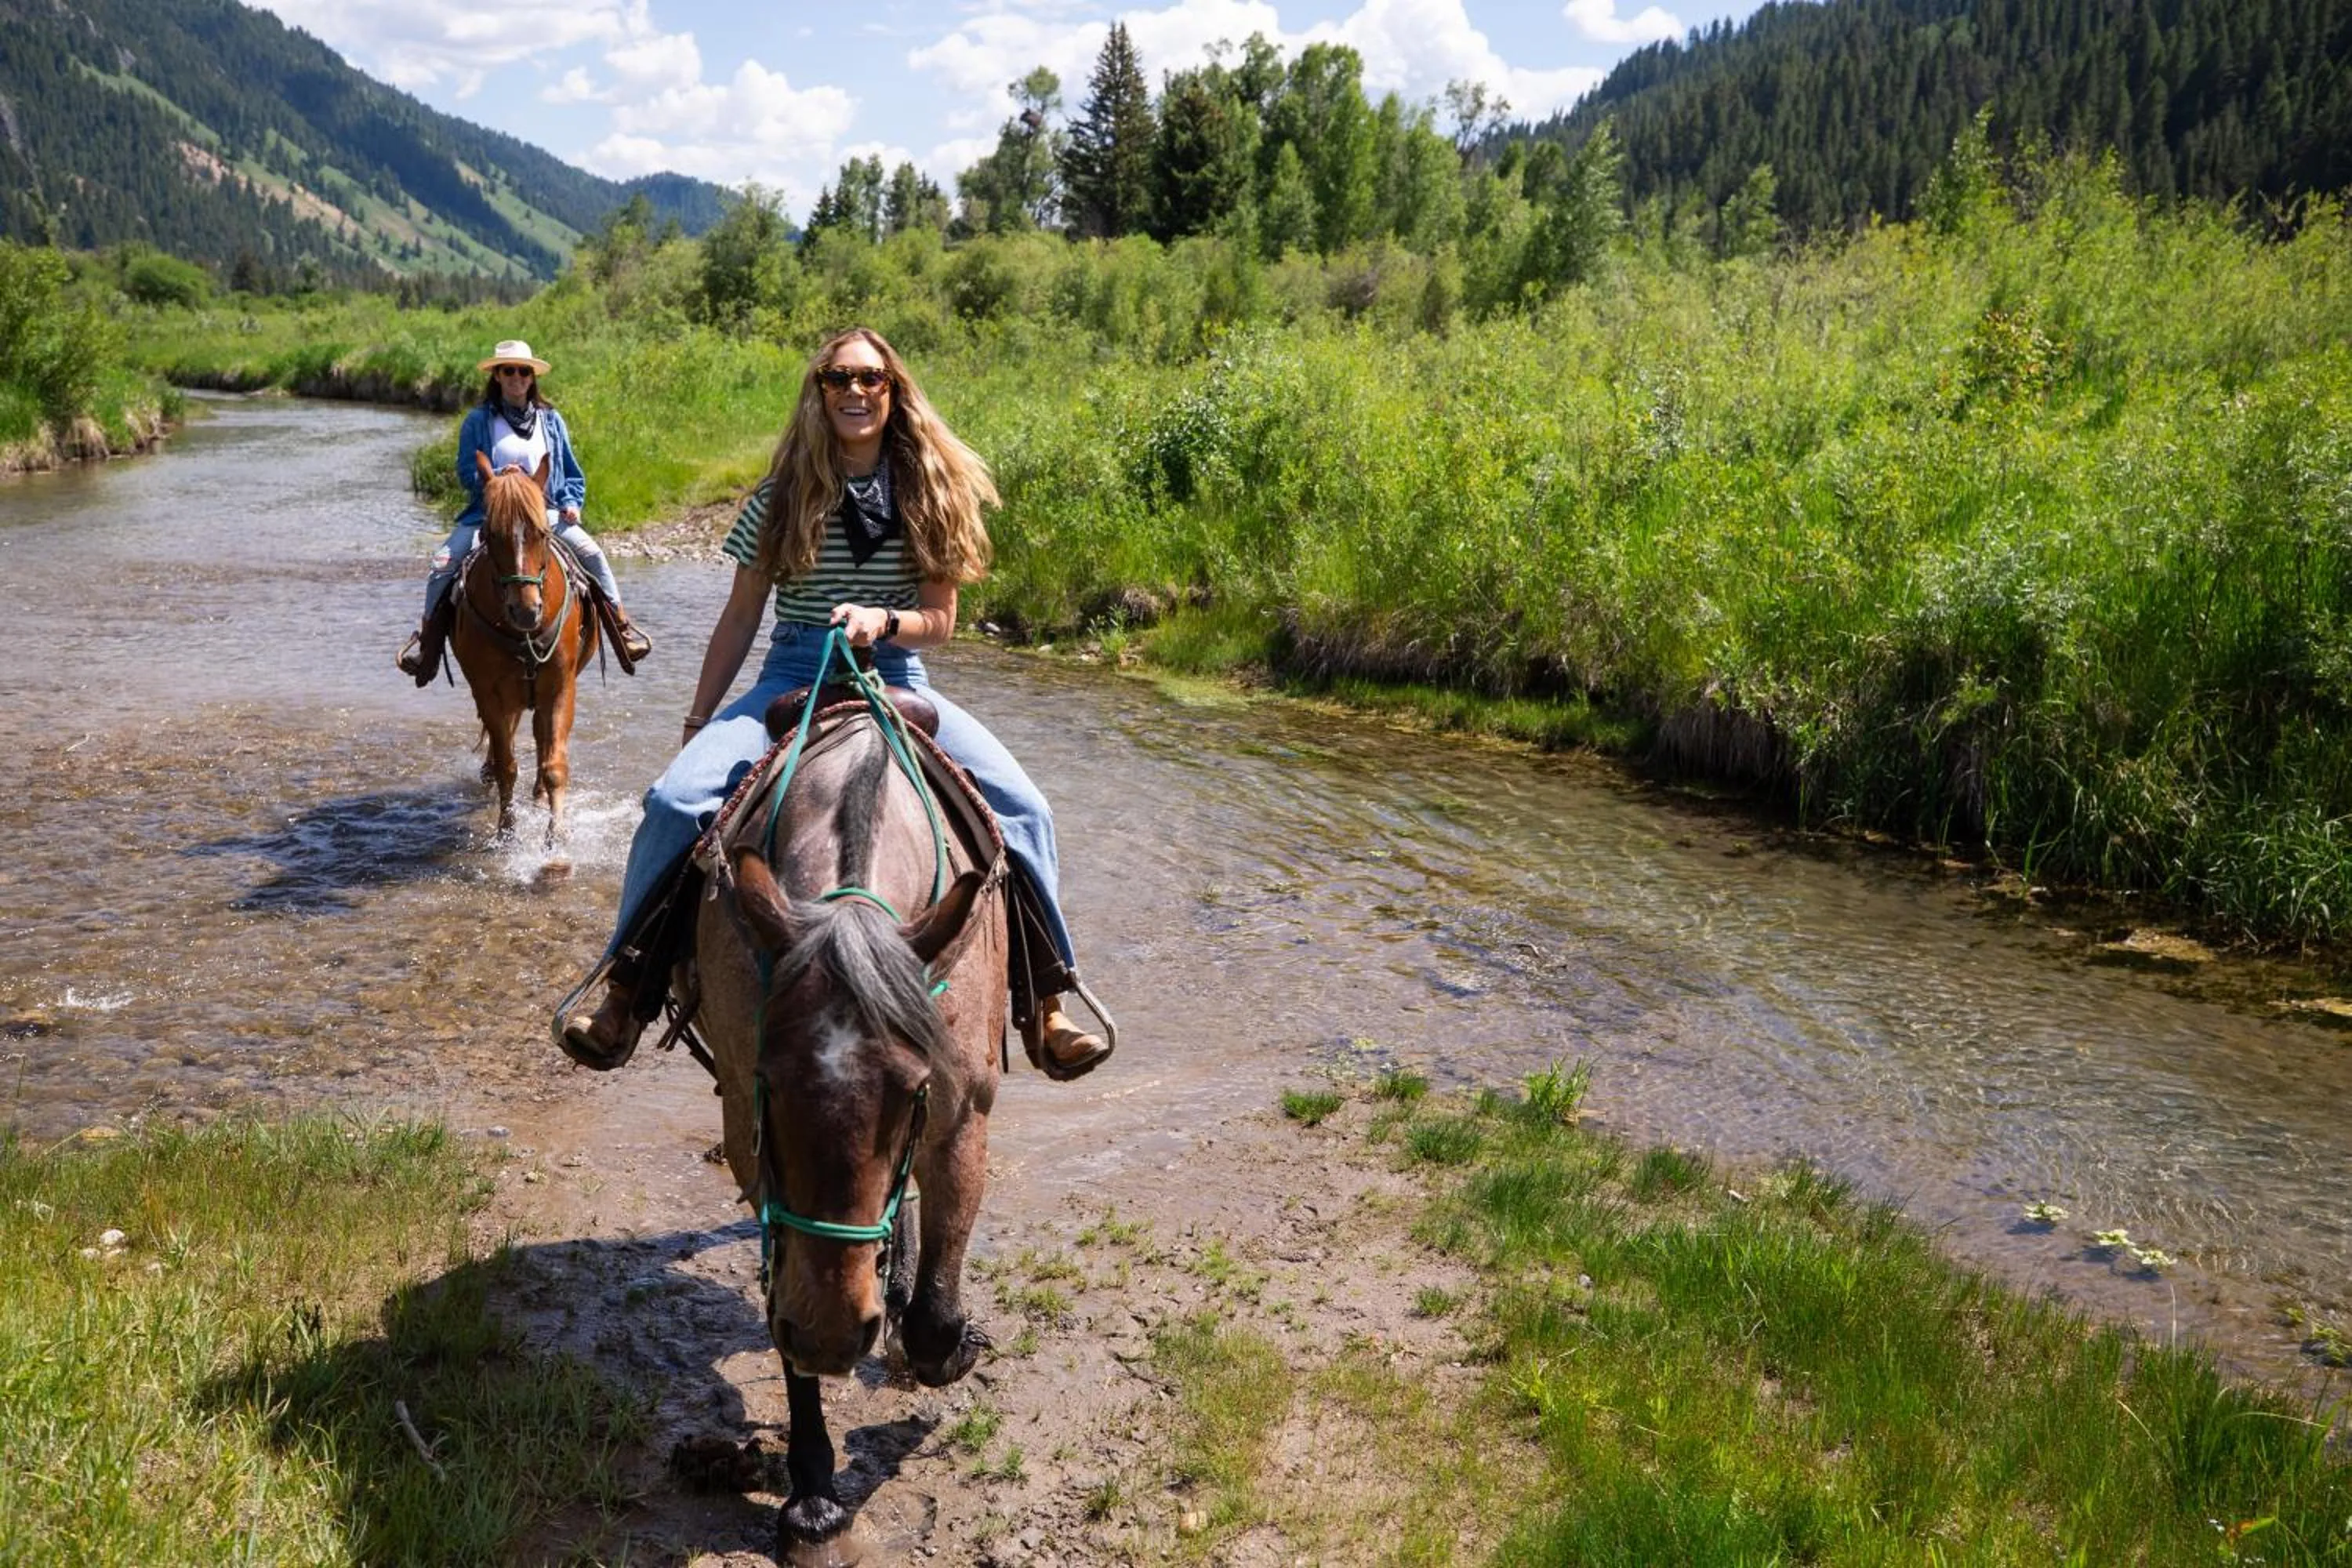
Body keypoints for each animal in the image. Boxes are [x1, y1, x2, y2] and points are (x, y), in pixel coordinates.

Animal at [448, 452, 598, 847]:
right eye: (490, 534)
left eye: (542, 533)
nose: (526, 610)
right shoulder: (489, 692)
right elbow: (507, 764)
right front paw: (506, 831)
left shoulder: (561, 687)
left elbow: (555, 763)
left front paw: (556, 835)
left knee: (540, 736)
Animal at [694, 676, 1006, 1558]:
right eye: (769, 1079)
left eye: (913, 1088)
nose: (836, 1334)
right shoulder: (746, 1136)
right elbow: (784, 1305)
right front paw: (813, 1495)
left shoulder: (962, 1116)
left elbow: (934, 1318)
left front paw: (941, 1346)